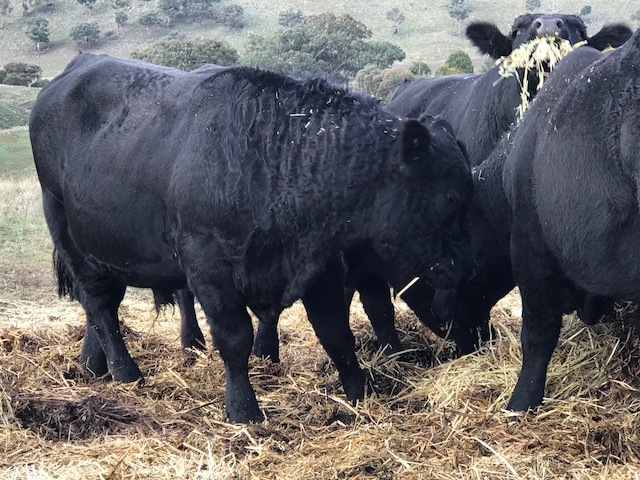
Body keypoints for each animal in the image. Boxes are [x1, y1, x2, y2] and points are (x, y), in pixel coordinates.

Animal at [30, 54, 473, 423]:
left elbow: (336, 333)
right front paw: (243, 410)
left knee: (99, 306)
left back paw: (92, 364)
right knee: (100, 304)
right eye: (452, 197)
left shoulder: (320, 265)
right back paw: (125, 373)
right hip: (67, 231)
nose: (466, 270)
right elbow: (235, 338)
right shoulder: (209, 265)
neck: (275, 154)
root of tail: (78, 67)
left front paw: (361, 393)